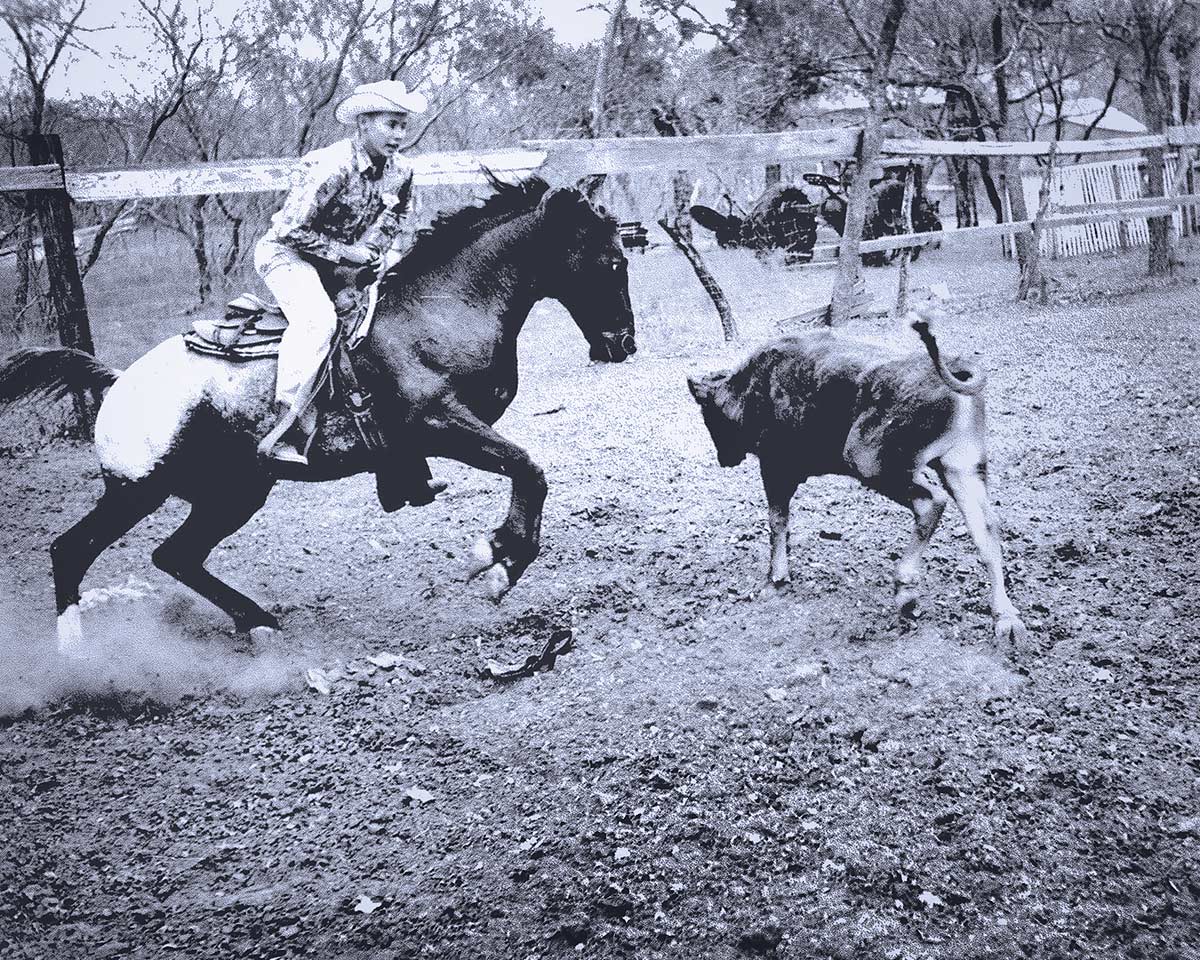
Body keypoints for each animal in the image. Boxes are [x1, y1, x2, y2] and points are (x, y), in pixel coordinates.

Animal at [0, 172, 638, 652]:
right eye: (612, 263)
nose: (624, 343)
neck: (441, 310)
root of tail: (116, 384)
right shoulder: (439, 424)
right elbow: (529, 467)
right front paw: (497, 563)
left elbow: (523, 470)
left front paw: (496, 555)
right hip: (141, 491)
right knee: (72, 551)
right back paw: (75, 654)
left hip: (232, 493)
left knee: (173, 555)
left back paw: (259, 622)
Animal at [691, 314, 1027, 643]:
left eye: (708, 414)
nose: (724, 459)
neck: (750, 384)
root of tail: (955, 370)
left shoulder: (776, 467)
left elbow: (777, 521)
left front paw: (776, 579)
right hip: (961, 468)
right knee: (985, 530)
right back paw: (1006, 620)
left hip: (869, 463)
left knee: (931, 502)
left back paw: (906, 594)